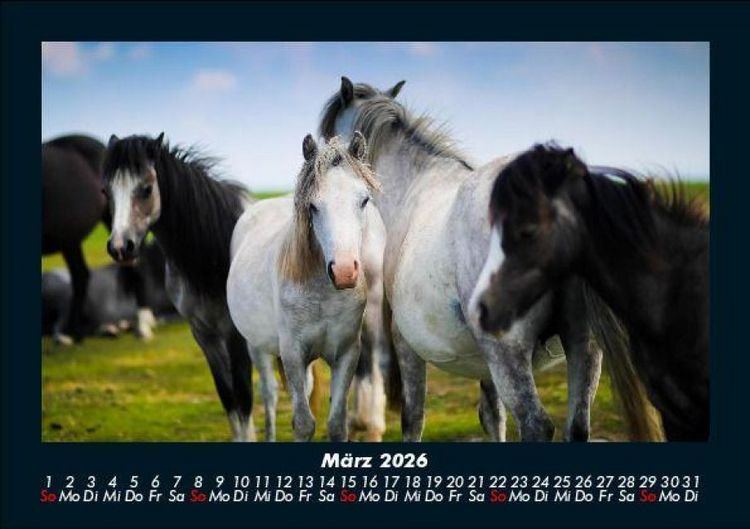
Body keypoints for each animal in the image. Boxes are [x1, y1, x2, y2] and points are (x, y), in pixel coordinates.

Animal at [102, 133, 256, 441]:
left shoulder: (236, 338)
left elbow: (244, 399)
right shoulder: (205, 337)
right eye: (106, 192)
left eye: (146, 189)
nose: (120, 247)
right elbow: (230, 400)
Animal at [227, 133, 387, 441]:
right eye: (313, 206)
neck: (323, 295)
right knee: (269, 394)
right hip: (256, 346)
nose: (344, 271)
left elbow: (336, 424)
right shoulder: (292, 354)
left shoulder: (346, 353)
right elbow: (303, 423)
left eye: (364, 200)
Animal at [319, 77, 619, 442]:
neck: (415, 184)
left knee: (535, 423)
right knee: (576, 425)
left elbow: (412, 417)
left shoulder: (406, 342)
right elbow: (492, 416)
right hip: (583, 346)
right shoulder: (483, 362)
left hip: (507, 352)